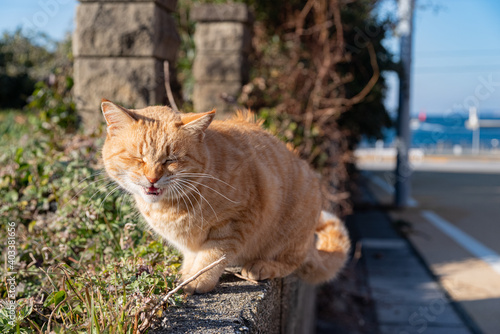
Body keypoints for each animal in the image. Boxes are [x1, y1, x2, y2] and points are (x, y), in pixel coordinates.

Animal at [101, 100, 350, 294]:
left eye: (171, 160)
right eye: (137, 158)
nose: (152, 178)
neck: (171, 208)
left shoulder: (236, 221)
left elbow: (212, 255)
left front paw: (197, 280)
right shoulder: (188, 244)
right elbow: (192, 255)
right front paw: (186, 272)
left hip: (292, 231)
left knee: (292, 263)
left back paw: (262, 266)